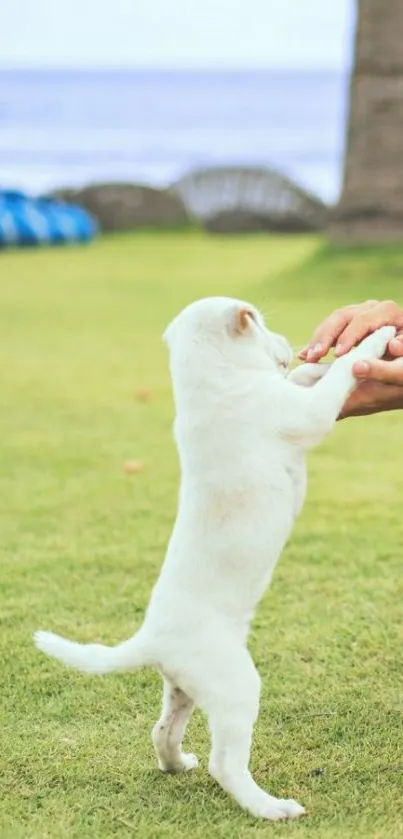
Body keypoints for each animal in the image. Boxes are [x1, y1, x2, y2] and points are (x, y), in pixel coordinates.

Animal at [34, 300, 394, 820]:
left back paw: (177, 763)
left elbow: (306, 377)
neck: (211, 381)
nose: (293, 343)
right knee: (225, 764)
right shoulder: (304, 414)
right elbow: (341, 373)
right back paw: (271, 808)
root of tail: (151, 639)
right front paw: (376, 339)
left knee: (162, 730)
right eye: (262, 322)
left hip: (183, 687)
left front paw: (318, 362)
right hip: (236, 686)